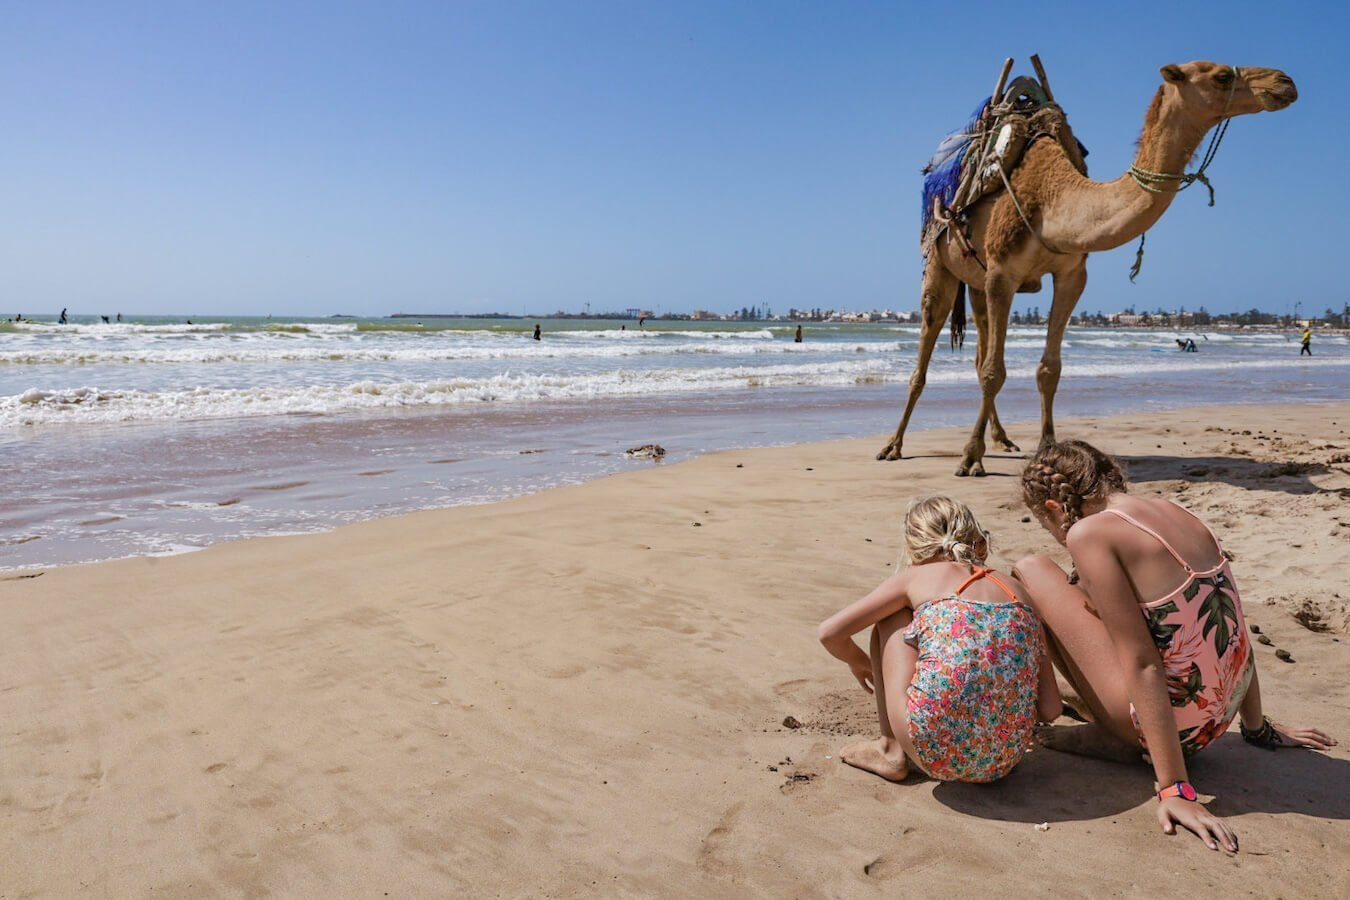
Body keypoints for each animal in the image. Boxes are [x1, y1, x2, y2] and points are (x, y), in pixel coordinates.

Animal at [876, 60, 1298, 475]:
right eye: (1222, 75)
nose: (1285, 81)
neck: (1056, 201)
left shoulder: (1071, 275)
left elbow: (1047, 370)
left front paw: (1047, 450)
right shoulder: (1002, 274)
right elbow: (995, 371)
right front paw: (968, 457)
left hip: (977, 281)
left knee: (979, 346)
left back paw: (1003, 438)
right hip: (940, 264)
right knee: (928, 350)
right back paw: (894, 445)